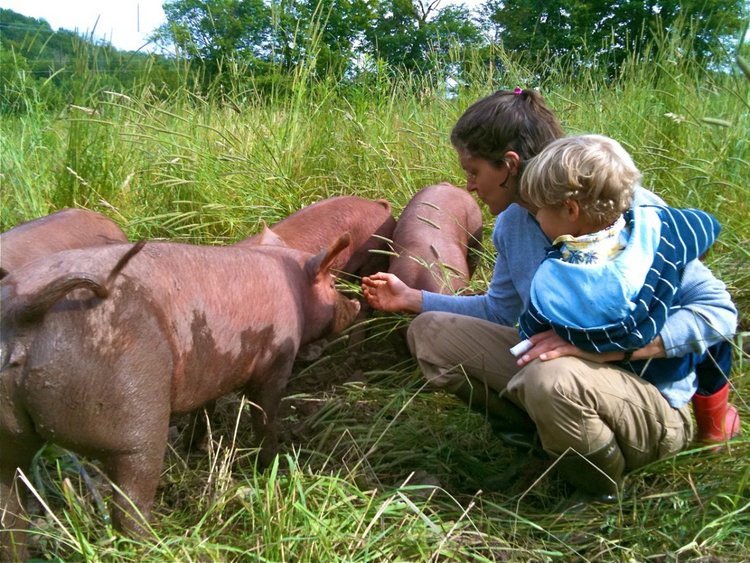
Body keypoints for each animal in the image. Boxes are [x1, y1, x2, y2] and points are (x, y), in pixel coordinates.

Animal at [0, 234, 362, 560]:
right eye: (331, 284)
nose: (357, 304)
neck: (295, 291)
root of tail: (23, 310)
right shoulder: (276, 361)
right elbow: (264, 414)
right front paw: (273, 463)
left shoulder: (209, 372)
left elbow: (204, 409)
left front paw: (194, 447)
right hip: (132, 417)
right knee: (130, 503)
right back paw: (154, 547)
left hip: (9, 440)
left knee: (10, 512)